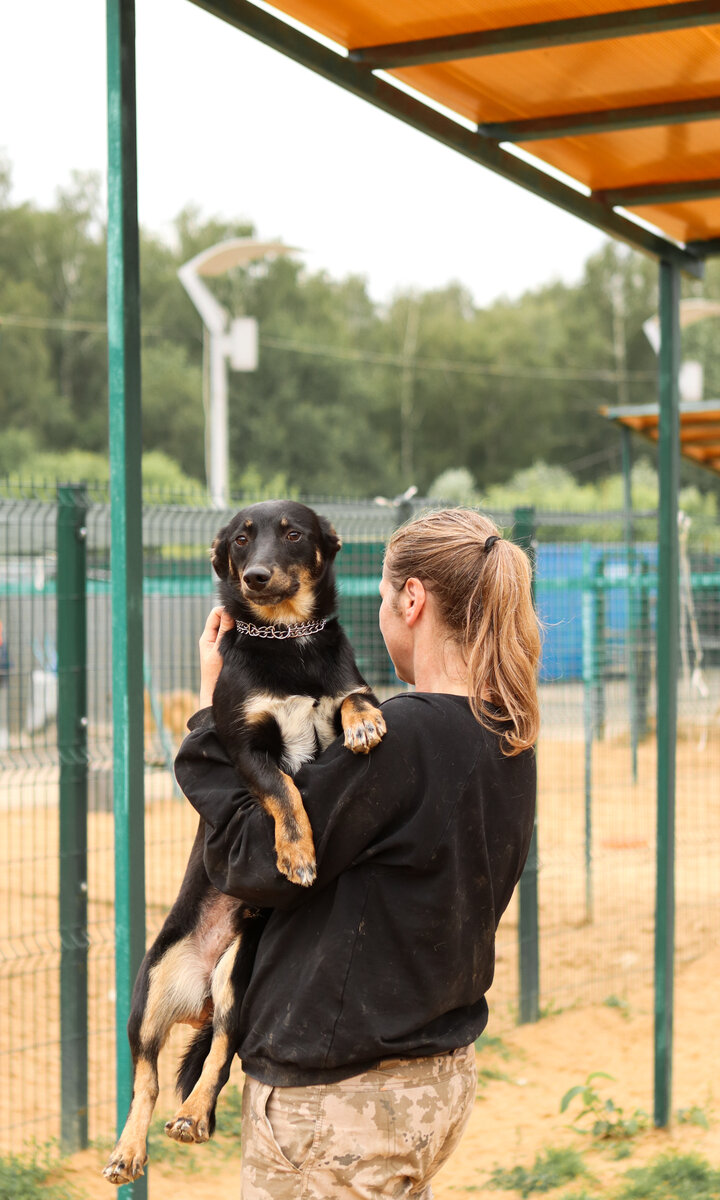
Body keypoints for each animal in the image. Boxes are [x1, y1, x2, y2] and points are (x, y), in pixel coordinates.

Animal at [103, 501, 386, 1185]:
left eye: (293, 534)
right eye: (238, 541)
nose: (255, 576)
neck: (289, 639)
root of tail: (199, 996)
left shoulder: (339, 691)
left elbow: (354, 697)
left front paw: (365, 720)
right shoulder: (244, 745)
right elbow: (284, 790)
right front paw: (298, 854)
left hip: (237, 977)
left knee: (221, 1053)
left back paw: (196, 1115)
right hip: (148, 994)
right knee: (147, 1080)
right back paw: (130, 1149)